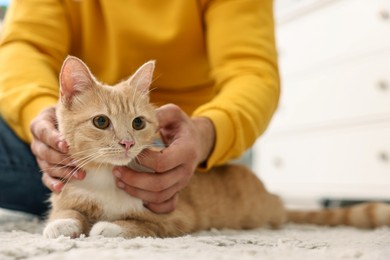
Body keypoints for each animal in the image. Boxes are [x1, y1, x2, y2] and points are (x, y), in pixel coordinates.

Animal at [43, 57, 390, 240]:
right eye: (101, 121)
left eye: (138, 123)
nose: (128, 142)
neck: (106, 178)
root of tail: (270, 196)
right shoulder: (69, 191)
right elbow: (66, 210)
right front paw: (60, 224)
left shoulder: (177, 218)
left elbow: (142, 224)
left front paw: (109, 227)